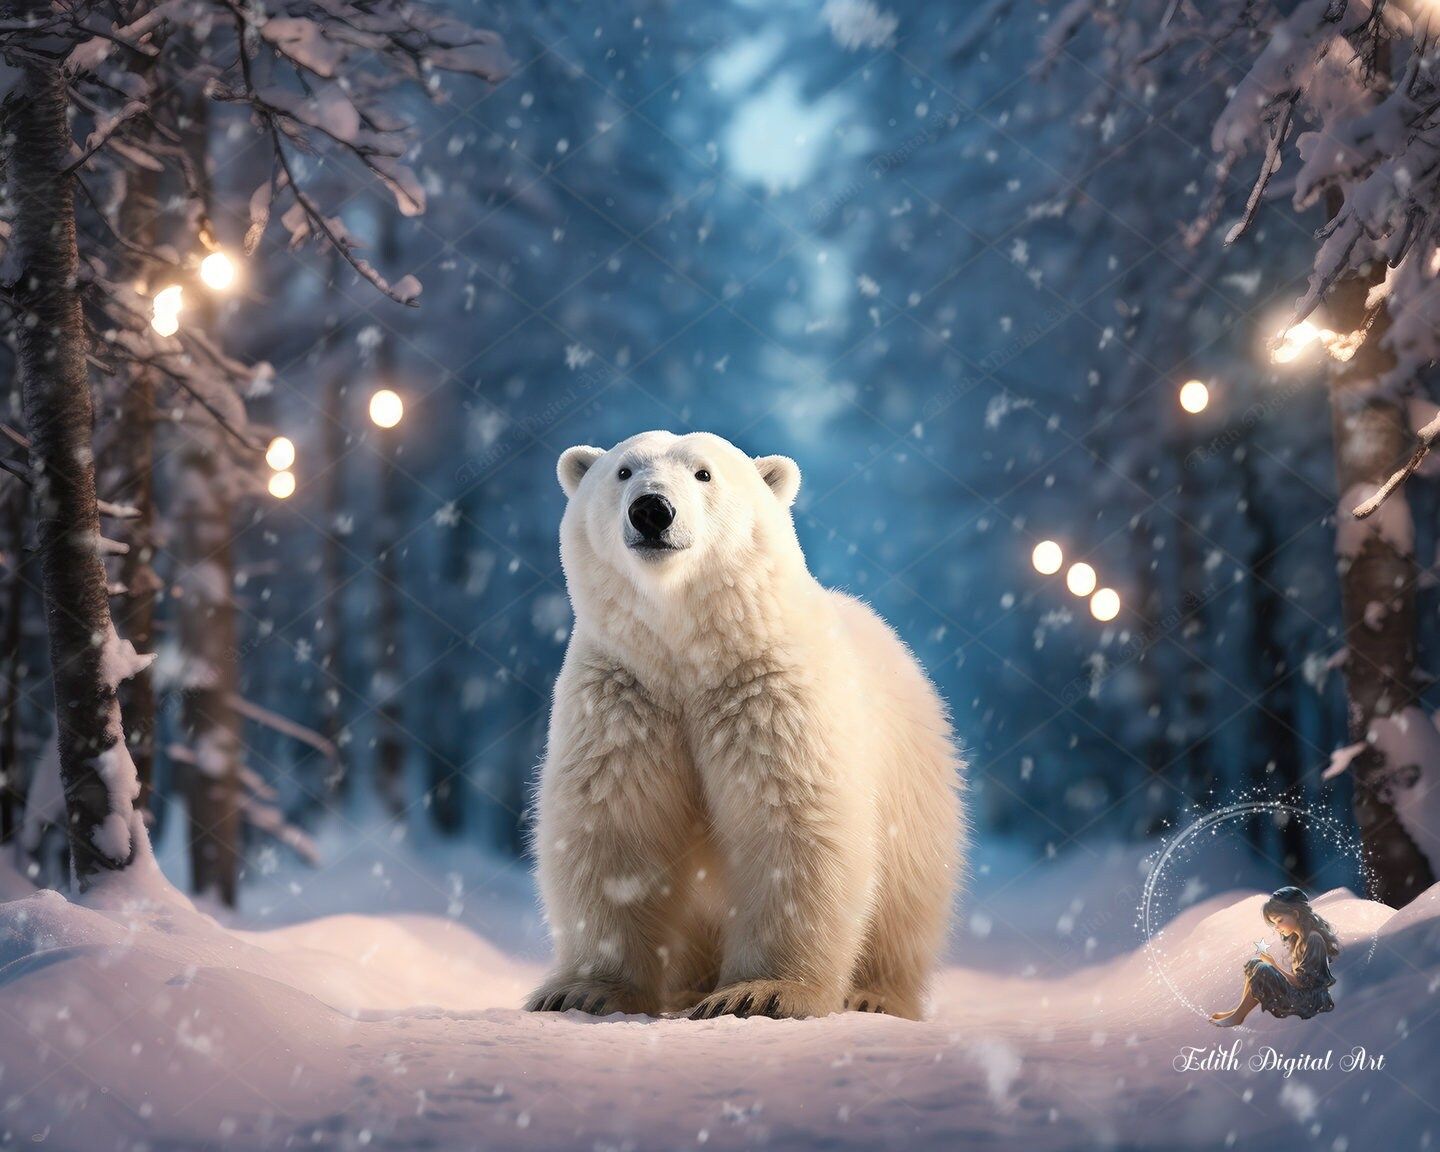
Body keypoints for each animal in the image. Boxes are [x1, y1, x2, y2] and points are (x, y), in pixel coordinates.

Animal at [525, 430, 965, 1021]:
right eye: (623, 471)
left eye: (704, 474)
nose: (651, 509)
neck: (688, 659)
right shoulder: (624, 699)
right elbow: (614, 827)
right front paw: (584, 991)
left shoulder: (768, 695)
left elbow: (789, 824)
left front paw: (761, 993)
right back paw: (689, 988)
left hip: (913, 783)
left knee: (906, 897)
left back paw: (875, 996)